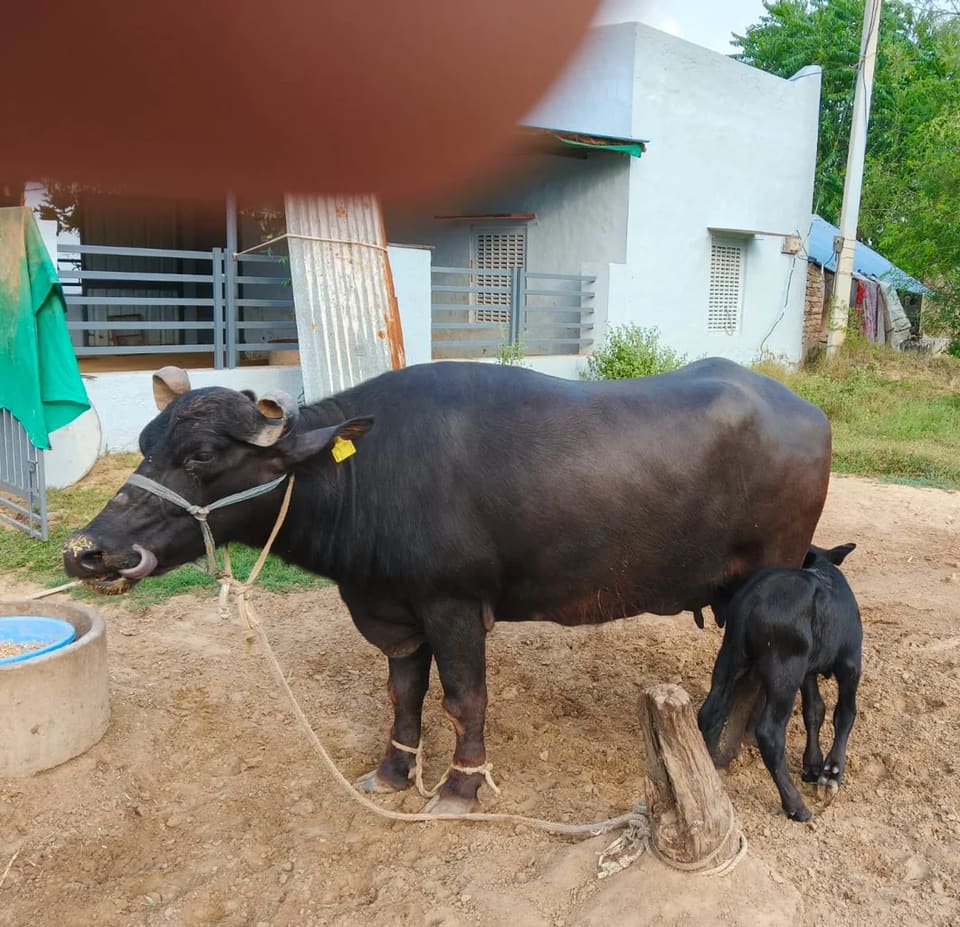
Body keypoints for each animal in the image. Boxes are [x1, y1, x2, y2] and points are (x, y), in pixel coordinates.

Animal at [63, 358, 831, 813]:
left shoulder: (454, 606)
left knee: (755, 675)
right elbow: (403, 697)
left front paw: (461, 785)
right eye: (146, 444)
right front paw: (392, 772)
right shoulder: (396, 612)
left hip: (769, 575)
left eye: (201, 455)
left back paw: (720, 756)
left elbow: (465, 700)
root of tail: (811, 414)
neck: (364, 473)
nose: (86, 551)